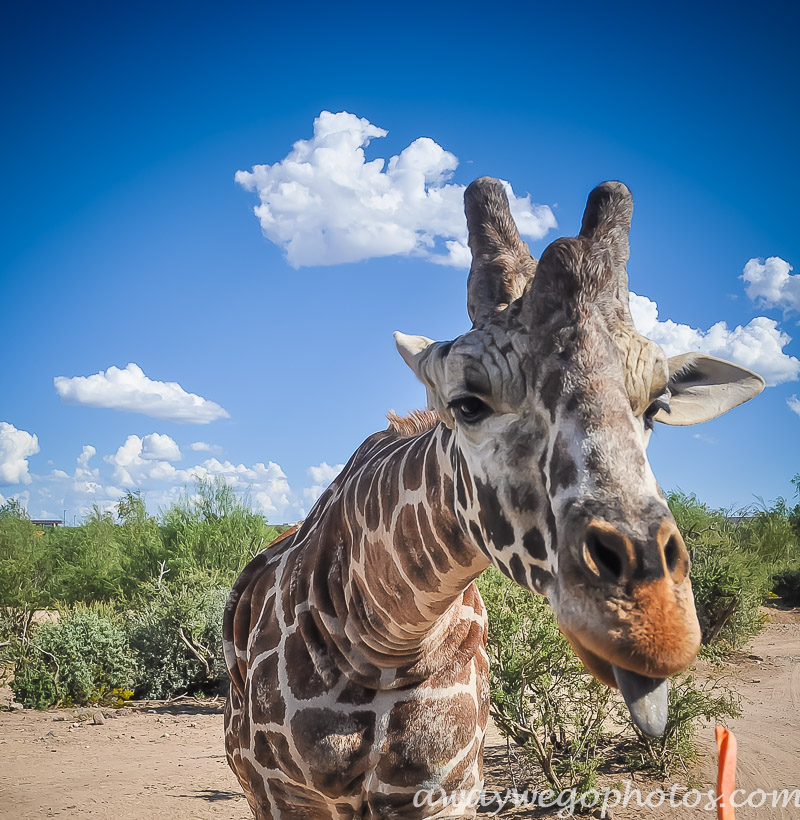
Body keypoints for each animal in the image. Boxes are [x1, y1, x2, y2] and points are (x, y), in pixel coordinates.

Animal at [223, 176, 764, 816]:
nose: (655, 623)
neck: (385, 640)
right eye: (466, 403)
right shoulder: (286, 794)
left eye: (655, 406)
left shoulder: (450, 788)